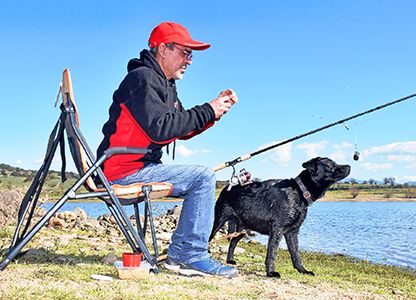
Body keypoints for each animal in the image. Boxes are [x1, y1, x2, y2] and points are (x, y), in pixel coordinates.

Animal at [210, 158, 350, 278]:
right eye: (330, 164)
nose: (349, 166)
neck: (299, 192)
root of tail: (227, 187)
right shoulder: (277, 230)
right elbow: (272, 253)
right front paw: (271, 273)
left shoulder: (292, 232)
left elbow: (296, 254)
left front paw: (303, 270)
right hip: (218, 221)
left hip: (242, 230)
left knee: (233, 242)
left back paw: (230, 260)